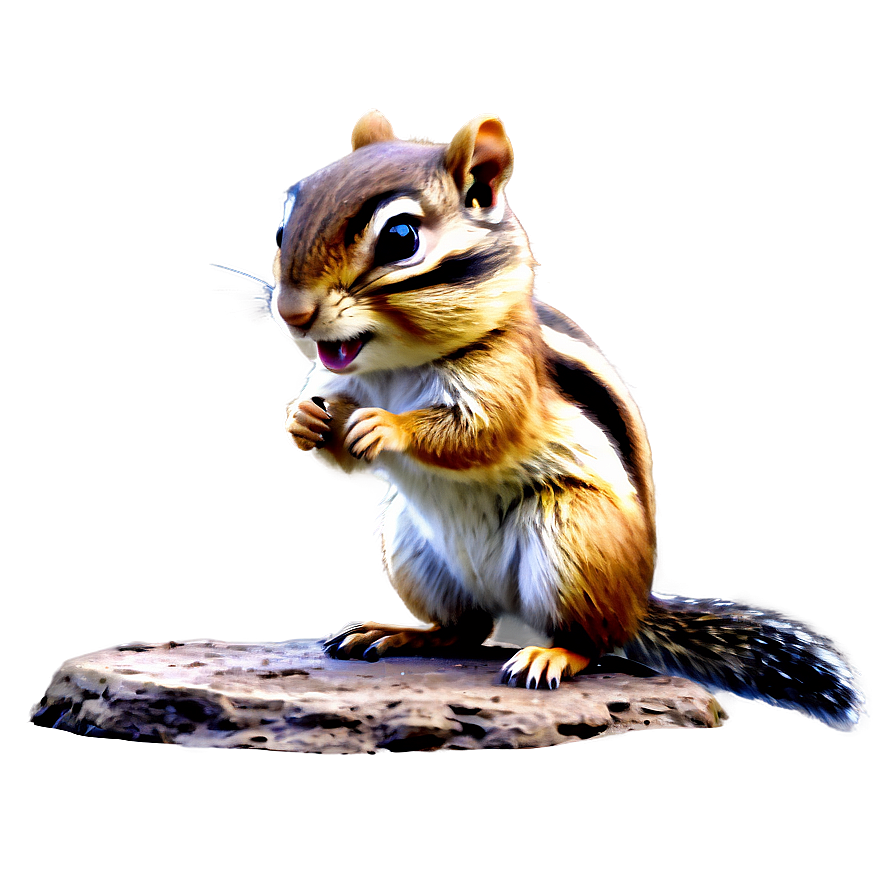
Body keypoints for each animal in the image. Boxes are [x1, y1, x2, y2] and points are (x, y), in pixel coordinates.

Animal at [259, 109, 862, 727]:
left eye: (401, 237)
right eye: (283, 231)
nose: (292, 314)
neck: (396, 367)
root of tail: (635, 603)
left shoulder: (507, 378)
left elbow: (480, 433)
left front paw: (385, 425)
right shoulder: (336, 383)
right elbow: (337, 444)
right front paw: (301, 421)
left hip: (572, 533)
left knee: (590, 640)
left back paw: (549, 656)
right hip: (410, 542)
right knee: (466, 630)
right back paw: (398, 634)